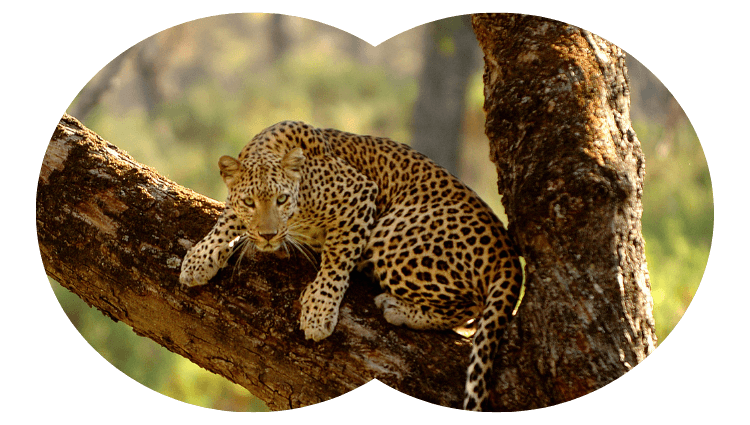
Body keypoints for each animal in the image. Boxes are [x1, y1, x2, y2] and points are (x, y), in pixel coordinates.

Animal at [179, 121, 523, 411]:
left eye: (281, 200)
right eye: (251, 203)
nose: (268, 234)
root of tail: (508, 251)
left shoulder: (358, 194)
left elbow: (338, 255)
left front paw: (319, 311)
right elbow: (228, 215)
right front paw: (200, 258)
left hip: (391, 232)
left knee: (471, 306)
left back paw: (398, 308)